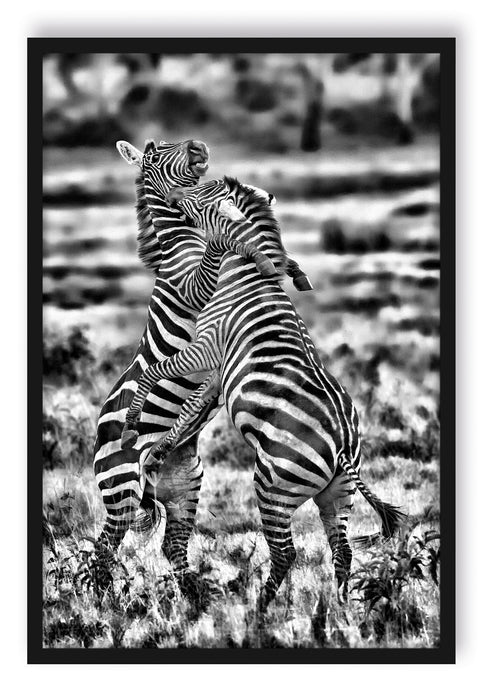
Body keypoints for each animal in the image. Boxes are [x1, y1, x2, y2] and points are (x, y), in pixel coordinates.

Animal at [94, 139, 310, 596]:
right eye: (154, 152)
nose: (199, 146)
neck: (182, 240)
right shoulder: (194, 287)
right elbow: (227, 244)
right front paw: (257, 254)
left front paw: (288, 265)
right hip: (121, 486)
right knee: (105, 546)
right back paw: (105, 601)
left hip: (183, 486)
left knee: (171, 546)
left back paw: (199, 596)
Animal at [120, 177, 405, 608]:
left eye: (197, 199)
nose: (170, 197)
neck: (244, 274)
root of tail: (342, 444)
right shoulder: (218, 370)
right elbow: (190, 410)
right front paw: (158, 451)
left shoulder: (207, 347)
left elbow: (155, 373)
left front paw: (132, 425)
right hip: (336, 495)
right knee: (342, 551)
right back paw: (341, 612)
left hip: (273, 487)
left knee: (285, 552)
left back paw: (257, 609)